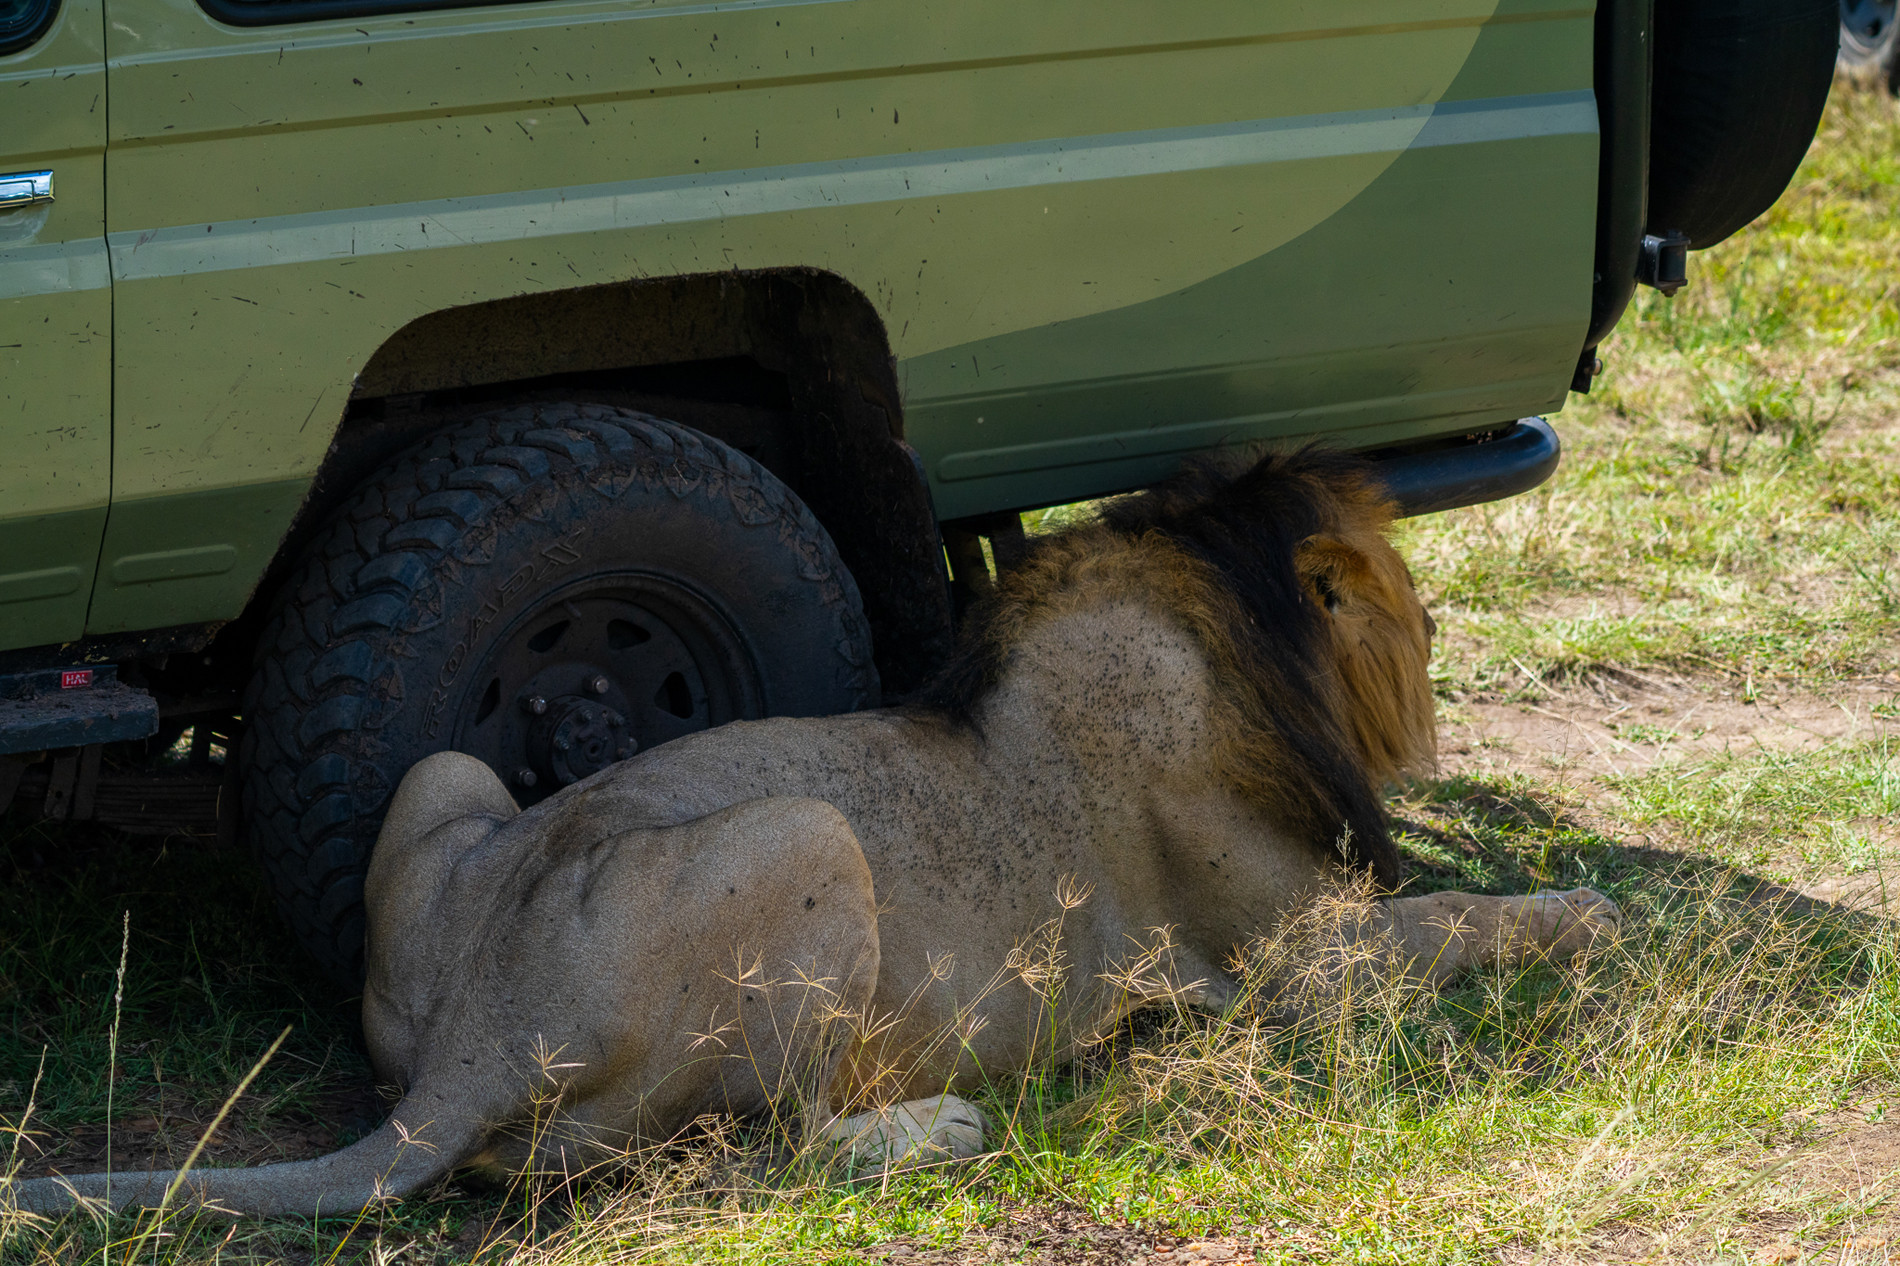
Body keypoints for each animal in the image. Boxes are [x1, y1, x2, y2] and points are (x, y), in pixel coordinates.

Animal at [11, 448, 1618, 1216]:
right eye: (1407, 608)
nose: (1441, 635)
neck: (1209, 626)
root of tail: (488, 1026)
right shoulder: (1293, 965)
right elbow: (1469, 912)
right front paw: (1599, 914)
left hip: (451, 781)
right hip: (805, 835)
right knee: (775, 1144)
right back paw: (944, 1125)